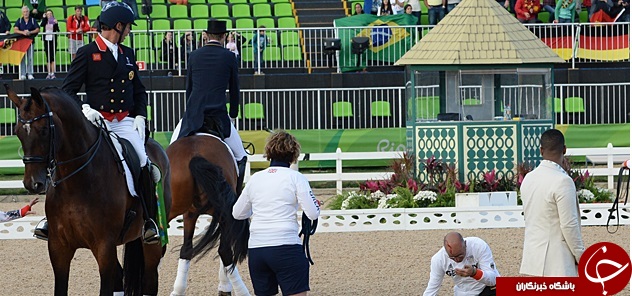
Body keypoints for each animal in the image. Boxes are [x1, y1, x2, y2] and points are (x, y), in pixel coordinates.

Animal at [6, 84, 173, 294]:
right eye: (18, 131)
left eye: (44, 130)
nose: (32, 184)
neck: (76, 182)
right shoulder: (58, 248)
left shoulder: (104, 247)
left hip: (153, 243)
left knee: (150, 280)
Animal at [167, 135, 251, 294]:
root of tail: (196, 155)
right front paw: (225, 285)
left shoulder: (189, 214)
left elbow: (186, 250)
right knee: (225, 251)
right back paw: (240, 291)